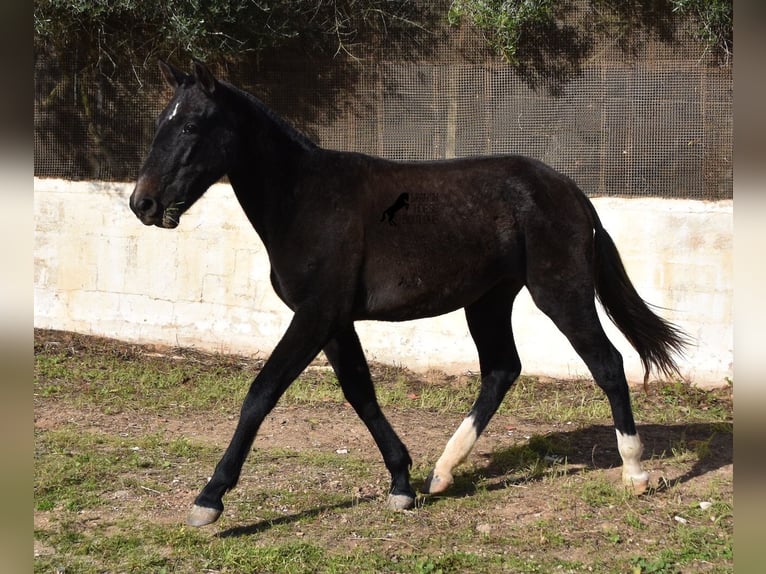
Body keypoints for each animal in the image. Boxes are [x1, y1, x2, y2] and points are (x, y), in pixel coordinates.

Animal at [130, 60, 688, 528]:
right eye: (159, 122)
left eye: (191, 126)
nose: (142, 203)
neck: (304, 200)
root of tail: (570, 190)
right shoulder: (336, 322)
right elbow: (361, 393)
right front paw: (401, 482)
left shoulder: (315, 315)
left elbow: (261, 393)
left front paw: (209, 499)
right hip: (487, 301)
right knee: (502, 370)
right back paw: (442, 472)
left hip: (560, 293)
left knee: (607, 364)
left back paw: (635, 473)